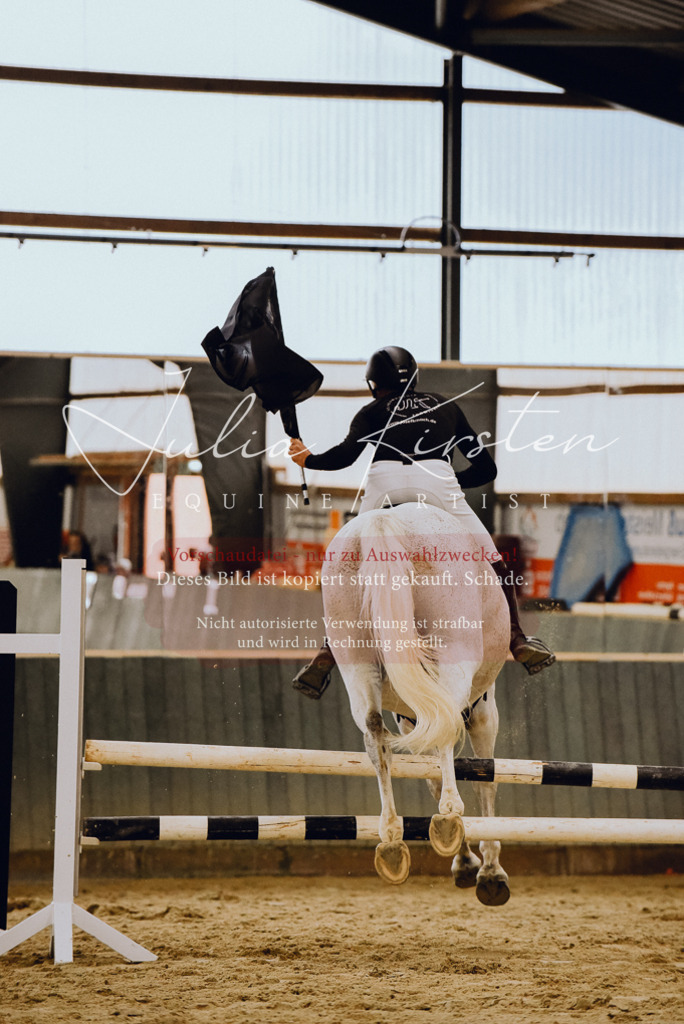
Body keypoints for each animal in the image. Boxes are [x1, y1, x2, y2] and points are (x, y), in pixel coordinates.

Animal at [321, 502, 511, 904]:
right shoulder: (483, 712)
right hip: (453, 657)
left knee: (375, 735)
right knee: (446, 734)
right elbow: (484, 781)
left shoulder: (413, 719)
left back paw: (392, 837)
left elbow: (434, 774)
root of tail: (385, 520)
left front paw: (466, 861)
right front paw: (488, 869)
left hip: (357, 665)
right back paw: (450, 816)